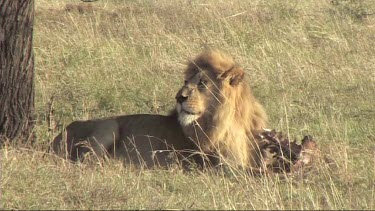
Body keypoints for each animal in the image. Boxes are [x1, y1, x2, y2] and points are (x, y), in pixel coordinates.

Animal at [53, 49, 270, 170]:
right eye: (186, 81)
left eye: (202, 83)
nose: (179, 97)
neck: (228, 122)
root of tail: (55, 139)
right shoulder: (216, 166)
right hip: (108, 125)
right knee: (86, 162)